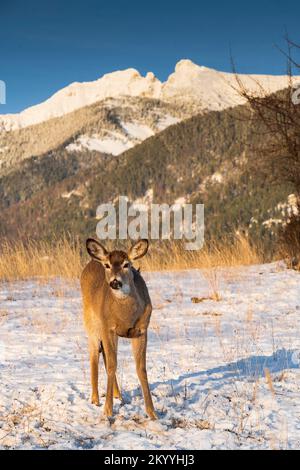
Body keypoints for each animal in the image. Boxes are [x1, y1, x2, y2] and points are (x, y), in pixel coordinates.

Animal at [81, 239, 157, 418]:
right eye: (107, 265)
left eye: (126, 264)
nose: (115, 282)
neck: (126, 316)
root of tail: (93, 261)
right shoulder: (108, 328)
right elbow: (111, 365)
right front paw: (108, 410)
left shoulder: (142, 330)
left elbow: (141, 369)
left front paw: (152, 412)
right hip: (91, 323)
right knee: (94, 355)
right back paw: (95, 399)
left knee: (105, 356)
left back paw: (118, 395)